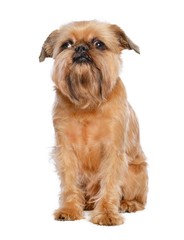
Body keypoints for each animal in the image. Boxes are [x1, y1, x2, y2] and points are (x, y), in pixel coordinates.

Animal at [39, 20, 148, 225]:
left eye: (99, 44)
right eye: (67, 44)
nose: (81, 48)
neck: (87, 101)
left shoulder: (113, 151)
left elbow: (111, 183)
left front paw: (106, 213)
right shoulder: (65, 151)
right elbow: (69, 182)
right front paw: (69, 209)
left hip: (136, 171)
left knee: (140, 199)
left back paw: (128, 204)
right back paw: (87, 204)